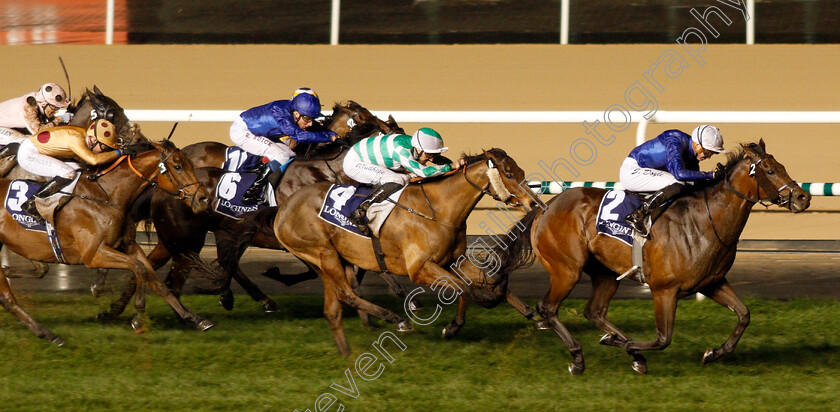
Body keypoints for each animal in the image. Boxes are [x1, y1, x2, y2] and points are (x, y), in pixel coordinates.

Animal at [0, 139, 212, 344]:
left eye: (190, 164)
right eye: (178, 166)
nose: (204, 199)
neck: (108, 195)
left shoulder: (128, 245)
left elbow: (156, 281)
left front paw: (194, 318)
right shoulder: (93, 254)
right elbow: (139, 269)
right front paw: (138, 318)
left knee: (19, 286)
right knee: (9, 298)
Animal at [223, 149, 540, 358]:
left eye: (522, 173)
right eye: (508, 174)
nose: (533, 203)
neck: (439, 209)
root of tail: (282, 209)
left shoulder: (452, 260)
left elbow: (483, 282)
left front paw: (533, 314)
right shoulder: (420, 268)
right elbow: (465, 289)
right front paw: (456, 324)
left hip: (332, 259)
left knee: (333, 308)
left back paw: (346, 353)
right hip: (322, 253)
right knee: (346, 295)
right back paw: (396, 319)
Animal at [496, 140, 812, 374]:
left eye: (781, 166)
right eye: (769, 170)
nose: (803, 197)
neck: (705, 221)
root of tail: (544, 208)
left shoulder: (712, 282)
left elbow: (744, 315)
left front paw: (714, 352)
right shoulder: (664, 290)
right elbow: (663, 339)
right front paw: (624, 345)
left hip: (606, 273)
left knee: (594, 311)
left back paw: (627, 349)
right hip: (567, 269)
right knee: (548, 308)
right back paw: (579, 357)